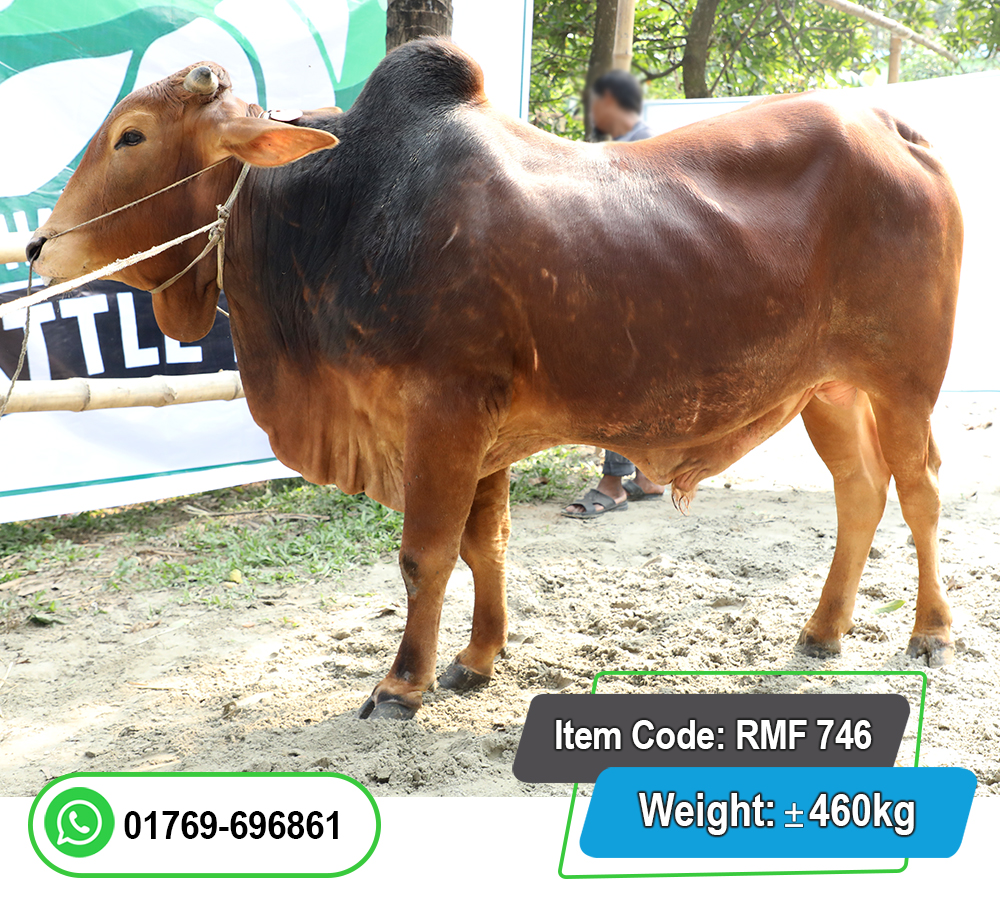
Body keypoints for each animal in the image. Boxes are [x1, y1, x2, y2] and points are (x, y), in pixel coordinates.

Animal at [28, 39, 962, 719]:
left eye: (132, 134)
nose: (38, 246)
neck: (337, 211)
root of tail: (896, 129)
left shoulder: (444, 412)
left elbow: (426, 553)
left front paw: (403, 683)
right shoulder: (482, 431)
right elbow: (486, 545)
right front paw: (477, 659)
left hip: (905, 384)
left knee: (918, 494)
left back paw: (931, 633)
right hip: (828, 391)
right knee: (859, 491)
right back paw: (824, 630)